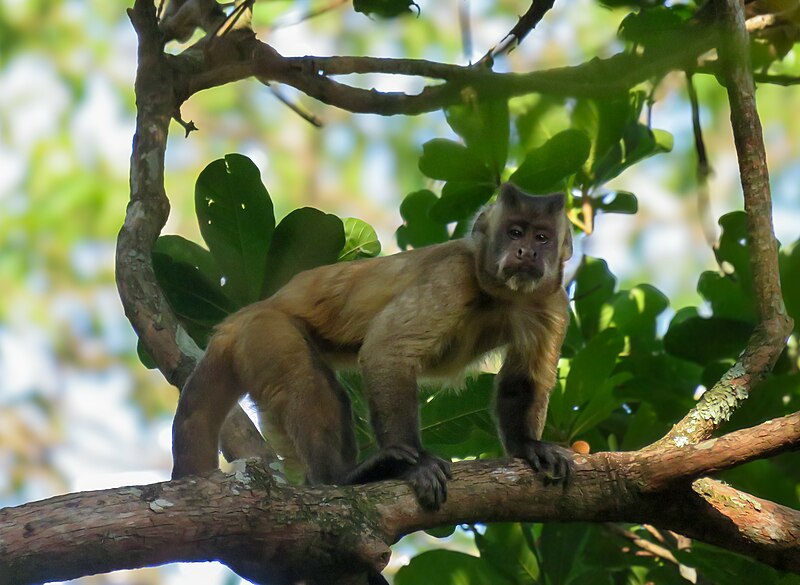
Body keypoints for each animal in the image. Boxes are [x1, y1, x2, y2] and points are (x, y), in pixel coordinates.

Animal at [172, 182, 572, 512]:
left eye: (542, 237)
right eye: (515, 232)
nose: (526, 251)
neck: (498, 295)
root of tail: (241, 315)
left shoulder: (551, 301)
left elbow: (525, 379)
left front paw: (527, 446)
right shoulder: (453, 274)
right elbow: (387, 350)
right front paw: (417, 464)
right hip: (264, 331)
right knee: (304, 382)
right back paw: (339, 478)